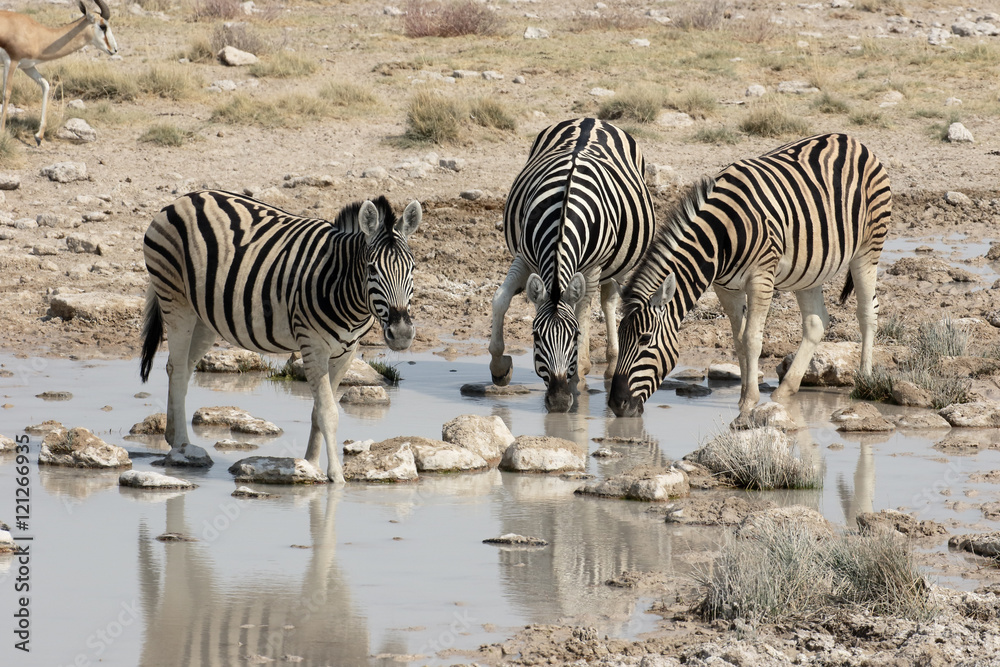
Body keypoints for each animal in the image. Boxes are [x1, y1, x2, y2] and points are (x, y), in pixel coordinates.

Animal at [140, 190, 422, 483]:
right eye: (371, 269)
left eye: (413, 268)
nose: (402, 334)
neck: (341, 284)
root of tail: (186, 197)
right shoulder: (313, 346)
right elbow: (328, 412)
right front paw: (336, 478)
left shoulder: (346, 352)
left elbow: (317, 411)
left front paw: (311, 464)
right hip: (176, 302)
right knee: (178, 369)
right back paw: (182, 446)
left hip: (205, 318)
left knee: (180, 367)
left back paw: (174, 438)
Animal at [489, 117, 656, 412]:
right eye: (535, 336)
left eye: (574, 335)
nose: (558, 402)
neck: (563, 215)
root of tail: (591, 119)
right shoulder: (524, 256)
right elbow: (500, 299)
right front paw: (499, 367)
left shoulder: (592, 269)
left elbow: (583, 312)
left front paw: (578, 374)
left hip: (619, 264)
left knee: (608, 301)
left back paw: (611, 365)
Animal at [608, 133, 891, 418]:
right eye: (620, 336)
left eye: (645, 339)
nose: (616, 404)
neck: (720, 236)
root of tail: (851, 140)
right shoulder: (726, 288)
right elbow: (738, 340)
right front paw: (744, 395)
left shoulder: (761, 279)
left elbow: (752, 339)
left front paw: (748, 401)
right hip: (810, 268)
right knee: (816, 322)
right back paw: (785, 389)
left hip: (868, 248)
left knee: (868, 311)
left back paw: (865, 379)